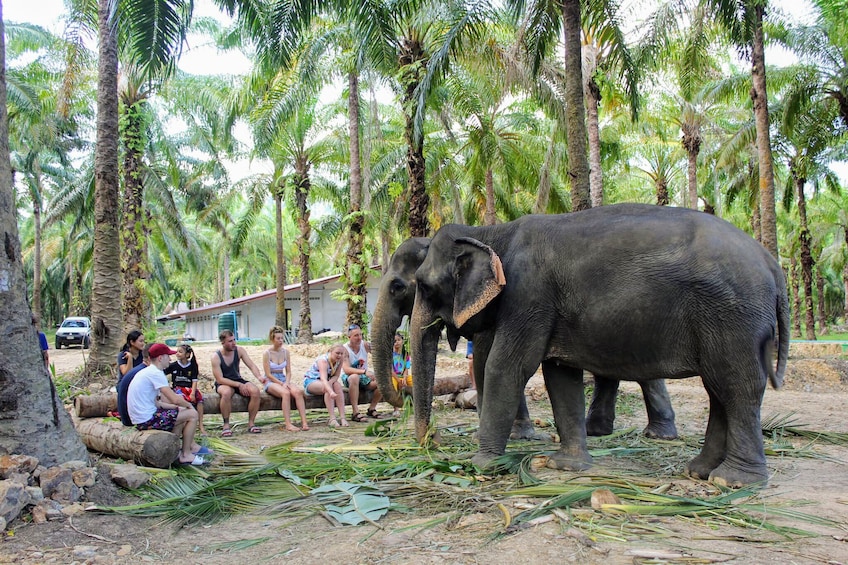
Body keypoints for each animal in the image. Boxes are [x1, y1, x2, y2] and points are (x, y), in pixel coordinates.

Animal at [410, 204, 788, 490]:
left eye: (424, 287)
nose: (433, 442)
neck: (492, 232)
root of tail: (773, 264)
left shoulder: (529, 296)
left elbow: (508, 367)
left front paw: (482, 465)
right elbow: (560, 376)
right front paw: (567, 467)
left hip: (733, 318)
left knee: (737, 386)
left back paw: (733, 481)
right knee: (719, 389)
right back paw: (699, 472)